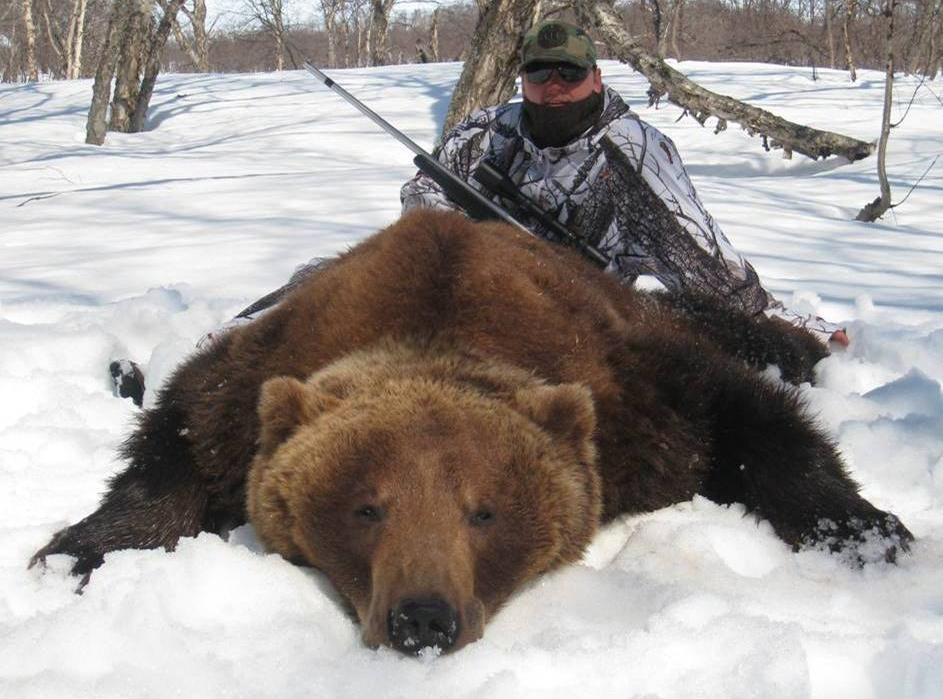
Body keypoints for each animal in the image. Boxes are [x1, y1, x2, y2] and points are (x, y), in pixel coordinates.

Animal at [33, 208, 912, 656]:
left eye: (482, 509)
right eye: (366, 505)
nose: (422, 617)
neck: (437, 321)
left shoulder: (636, 389)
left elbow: (751, 417)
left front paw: (865, 530)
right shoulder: (262, 365)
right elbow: (178, 436)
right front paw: (76, 551)